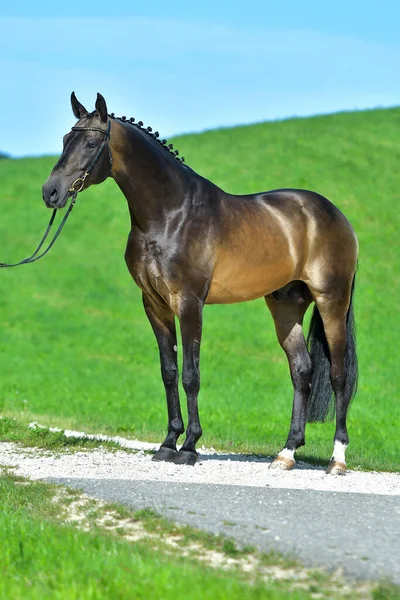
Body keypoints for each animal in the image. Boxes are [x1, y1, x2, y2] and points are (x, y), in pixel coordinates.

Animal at [42, 92, 358, 474]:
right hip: (286, 306)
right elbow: (169, 371)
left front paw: (190, 447)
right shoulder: (154, 304)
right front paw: (167, 443)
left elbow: (190, 375)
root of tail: (336, 215)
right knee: (302, 371)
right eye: (64, 140)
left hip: (332, 301)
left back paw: (337, 459)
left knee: (339, 374)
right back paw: (286, 453)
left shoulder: (189, 302)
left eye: (90, 143)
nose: (51, 192)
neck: (170, 214)